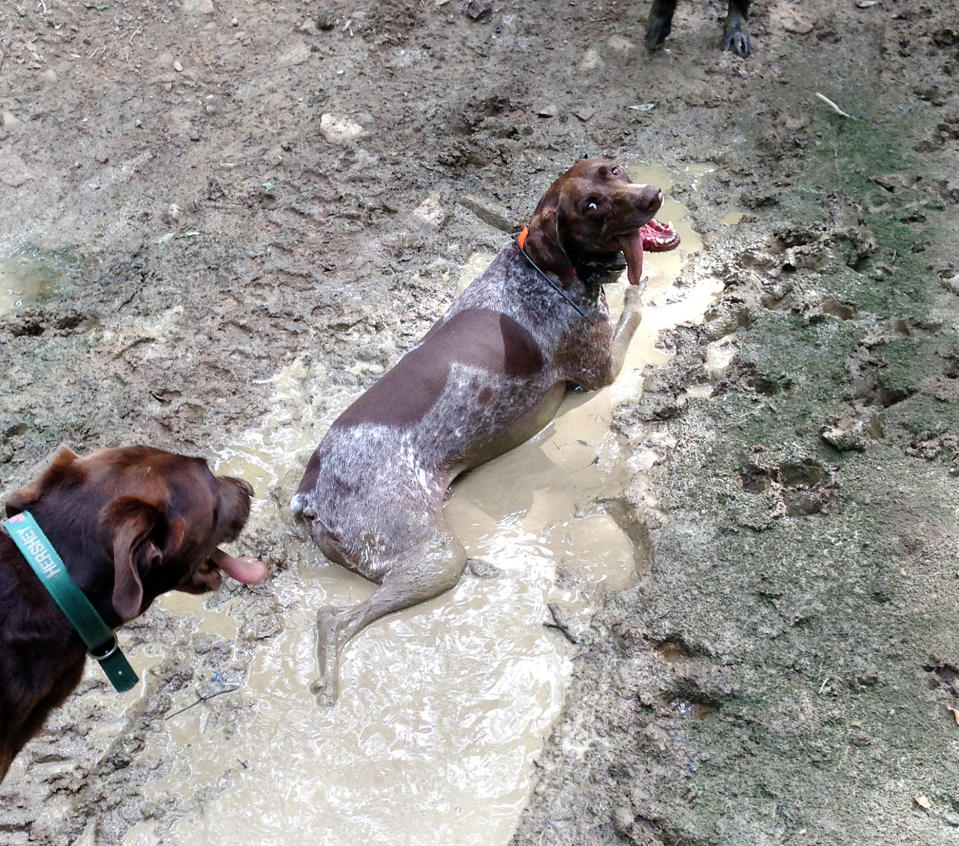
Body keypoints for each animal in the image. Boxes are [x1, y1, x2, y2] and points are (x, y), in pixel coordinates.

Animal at [294, 161, 684, 708]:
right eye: (590, 206)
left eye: (613, 170)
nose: (652, 195)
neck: (543, 273)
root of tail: (312, 490)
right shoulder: (602, 365)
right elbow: (635, 307)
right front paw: (637, 289)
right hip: (435, 556)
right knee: (334, 619)